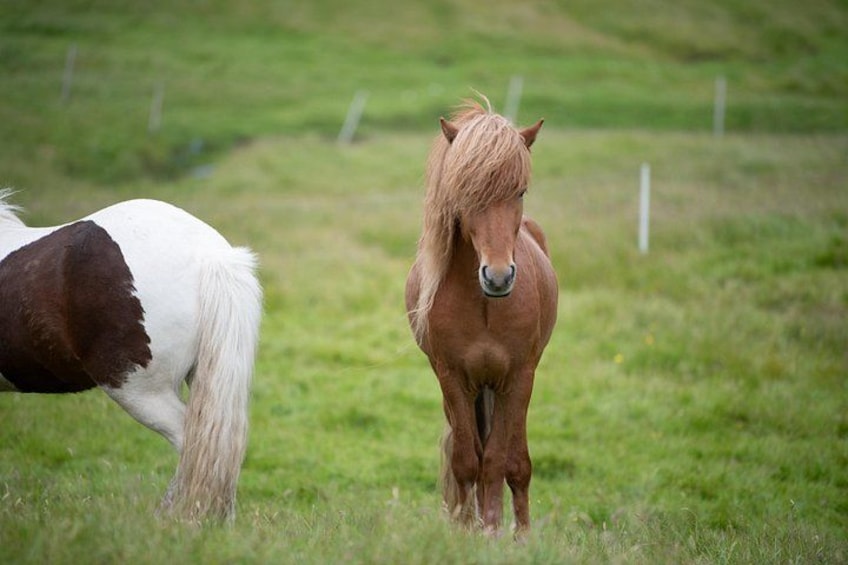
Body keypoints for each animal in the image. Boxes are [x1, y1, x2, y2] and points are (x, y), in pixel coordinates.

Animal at [405, 100, 558, 535]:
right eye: (465, 192)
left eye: (520, 190)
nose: (499, 276)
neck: (485, 305)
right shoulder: (453, 378)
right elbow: (465, 460)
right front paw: (467, 531)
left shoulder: (517, 378)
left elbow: (501, 462)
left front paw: (499, 532)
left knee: (513, 461)